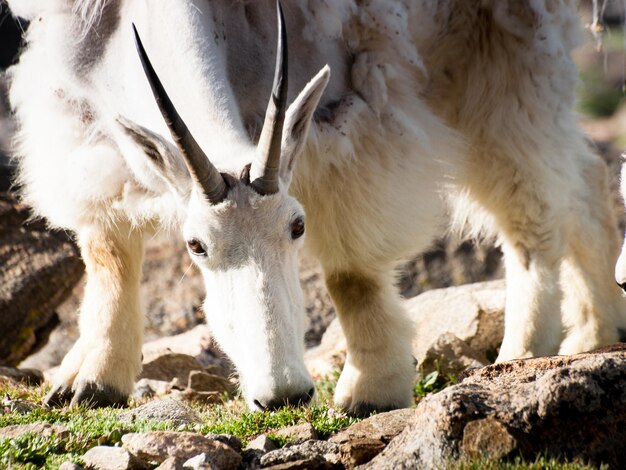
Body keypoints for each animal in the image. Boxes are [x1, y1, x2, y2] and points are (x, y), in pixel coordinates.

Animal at [6, 0, 624, 414]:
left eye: (297, 226)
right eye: (196, 245)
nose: (281, 395)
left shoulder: (349, 110)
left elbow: (351, 272)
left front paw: (372, 391)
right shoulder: (82, 123)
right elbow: (108, 252)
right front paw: (95, 382)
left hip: (505, 54)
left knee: (533, 207)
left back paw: (522, 354)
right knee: (586, 177)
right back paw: (596, 332)